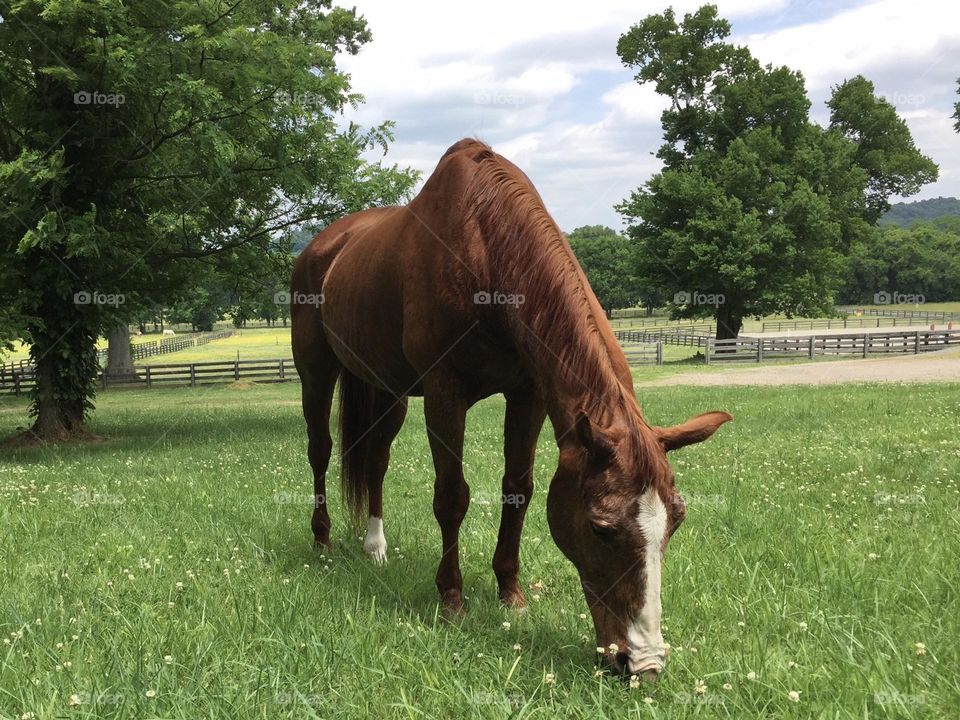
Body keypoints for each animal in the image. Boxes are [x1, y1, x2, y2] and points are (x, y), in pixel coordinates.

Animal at [288, 138, 732, 676]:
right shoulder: (445, 392)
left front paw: (510, 593)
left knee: (375, 461)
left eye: (676, 520)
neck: (485, 249)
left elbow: (518, 489)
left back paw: (375, 547)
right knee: (320, 451)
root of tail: (321, 247)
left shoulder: (529, 394)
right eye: (600, 528)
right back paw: (323, 541)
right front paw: (452, 599)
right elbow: (451, 496)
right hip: (317, 374)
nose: (642, 662)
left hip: (387, 389)